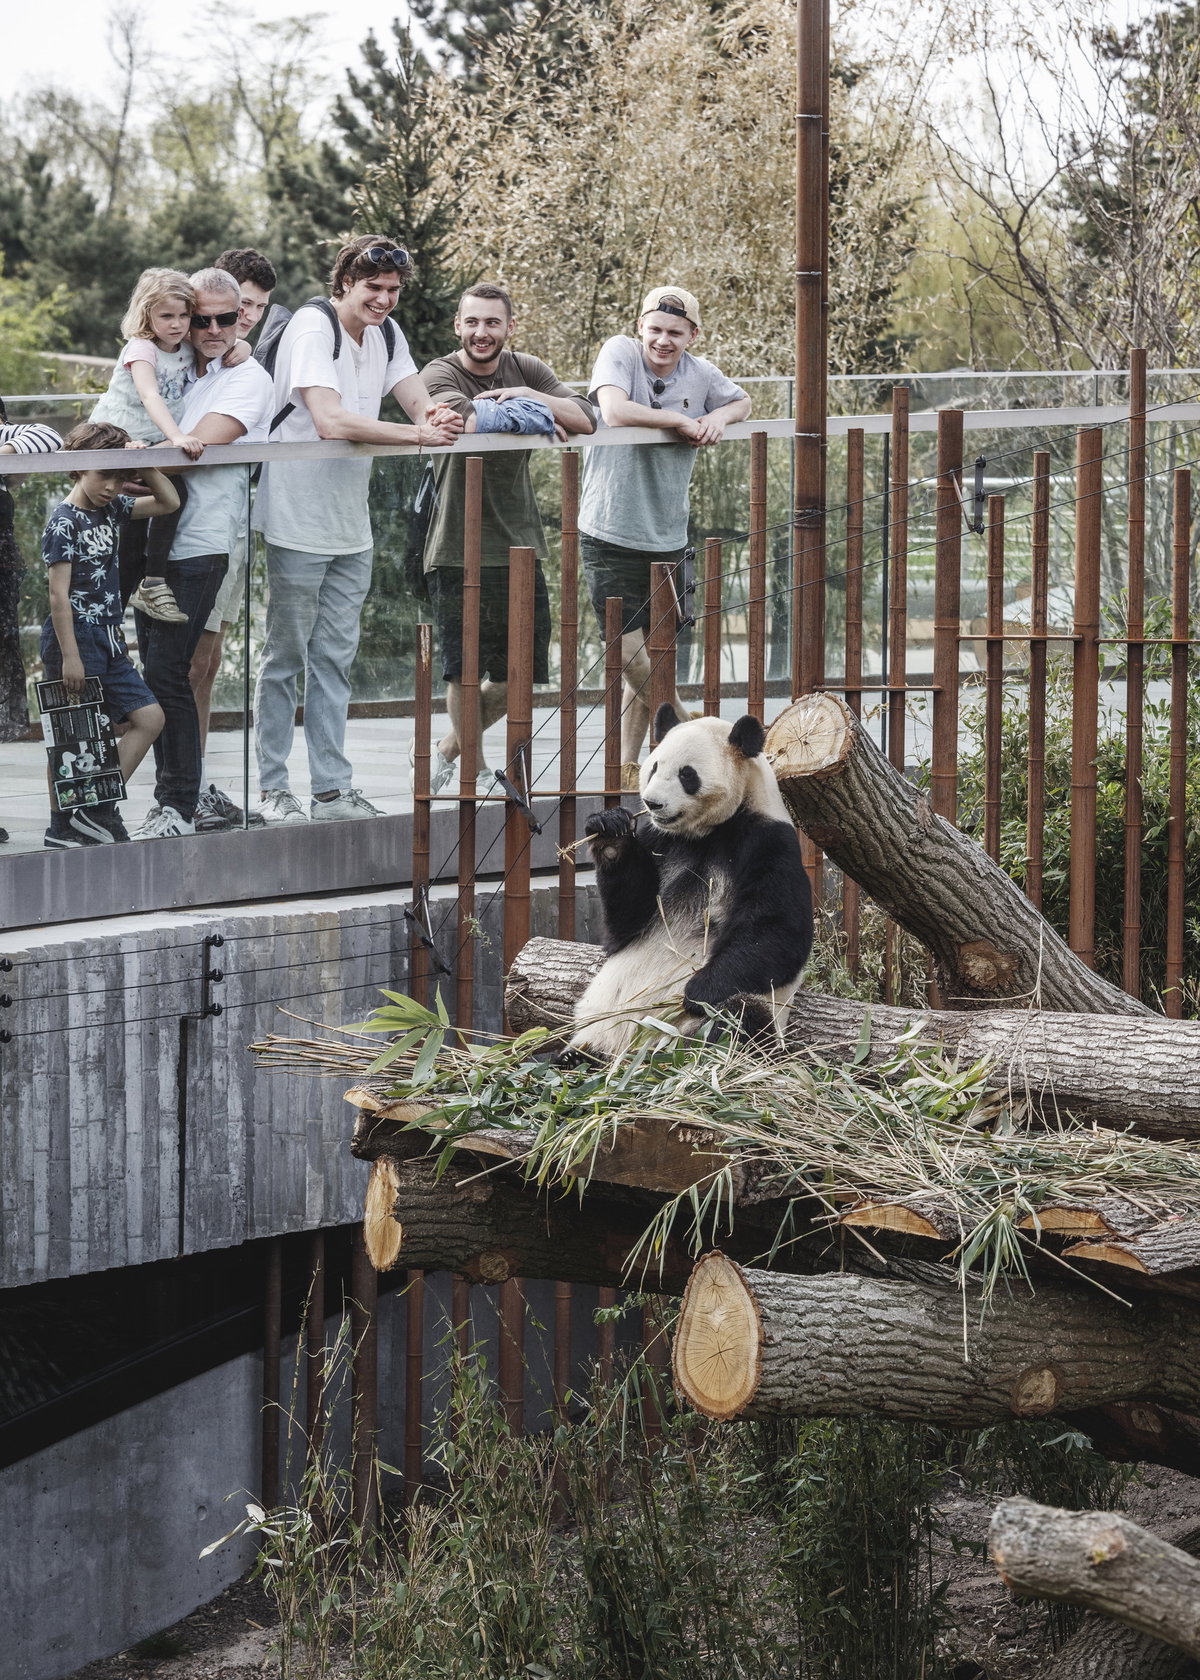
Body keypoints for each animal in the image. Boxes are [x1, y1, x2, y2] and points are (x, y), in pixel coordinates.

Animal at [568, 704, 814, 1059]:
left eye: (687, 775)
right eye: (654, 767)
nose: (653, 803)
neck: (704, 833)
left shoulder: (768, 840)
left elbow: (778, 930)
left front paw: (697, 990)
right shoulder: (658, 840)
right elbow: (623, 927)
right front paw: (610, 832)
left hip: (709, 1022)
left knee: (737, 1019)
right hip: (599, 1028)